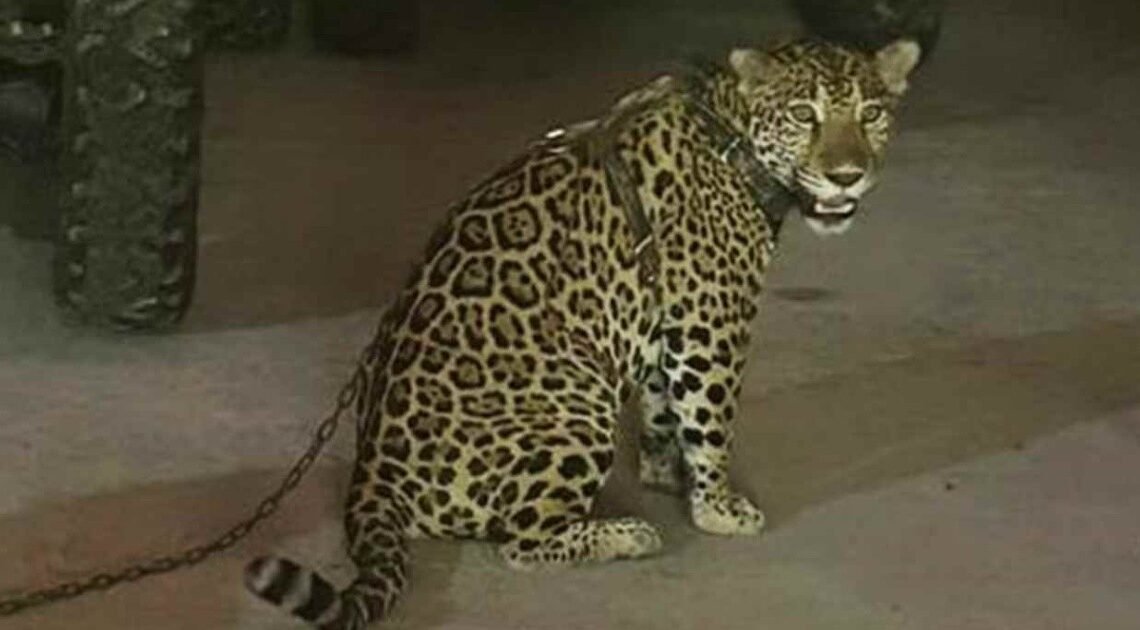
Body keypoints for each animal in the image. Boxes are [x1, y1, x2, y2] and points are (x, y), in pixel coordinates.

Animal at [243, 37, 922, 628]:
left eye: (871, 114)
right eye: (805, 115)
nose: (846, 175)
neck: (732, 133)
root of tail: (371, 473)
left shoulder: (664, 320)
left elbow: (663, 407)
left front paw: (664, 473)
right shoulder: (711, 321)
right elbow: (711, 419)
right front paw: (718, 507)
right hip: (576, 411)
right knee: (520, 543)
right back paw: (627, 534)